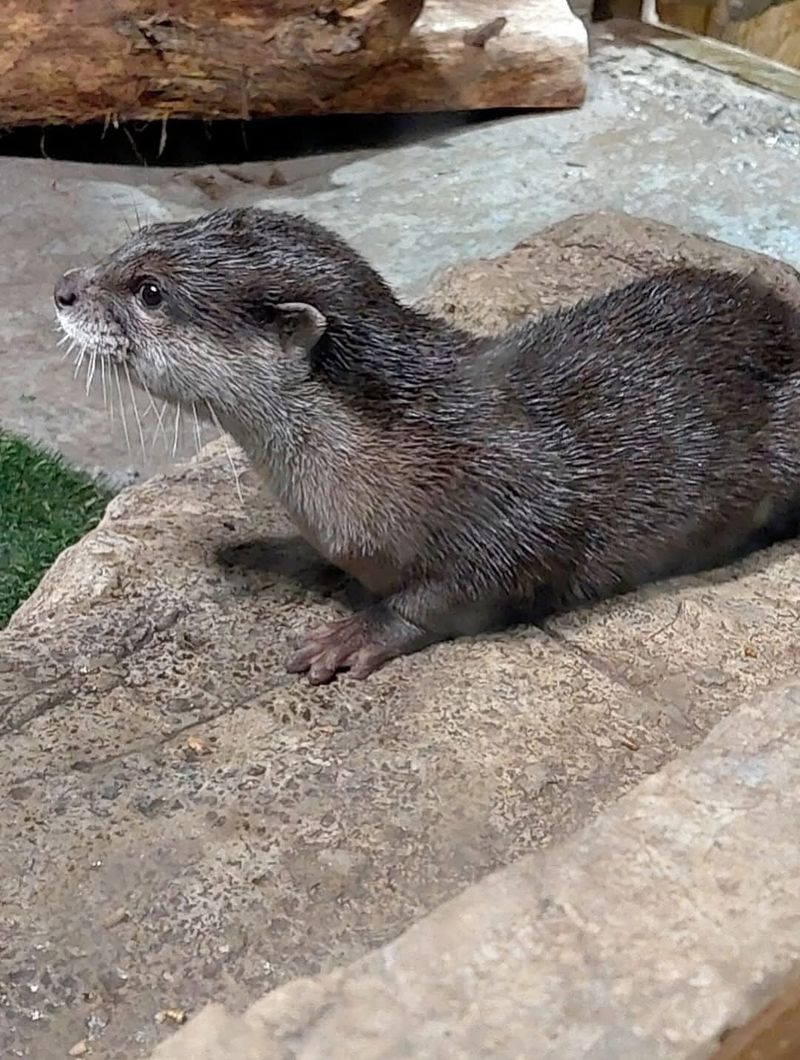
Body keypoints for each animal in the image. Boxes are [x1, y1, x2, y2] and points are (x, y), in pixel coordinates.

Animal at [54, 207, 800, 683]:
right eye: (132, 243)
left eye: (150, 291)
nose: (63, 288)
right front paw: (277, 550)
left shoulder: (514, 501)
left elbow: (471, 583)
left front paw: (359, 633)